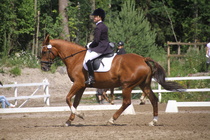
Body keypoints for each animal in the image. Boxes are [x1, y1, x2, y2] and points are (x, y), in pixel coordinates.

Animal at [40, 34, 185, 126]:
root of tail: (143, 59)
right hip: (144, 85)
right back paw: (153, 121)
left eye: (44, 51)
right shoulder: (82, 86)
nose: (43, 67)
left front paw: (80, 115)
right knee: (153, 100)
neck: (75, 58)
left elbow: (68, 98)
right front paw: (69, 121)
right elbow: (75, 102)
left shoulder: (78, 83)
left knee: (126, 102)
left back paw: (111, 120)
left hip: (127, 86)